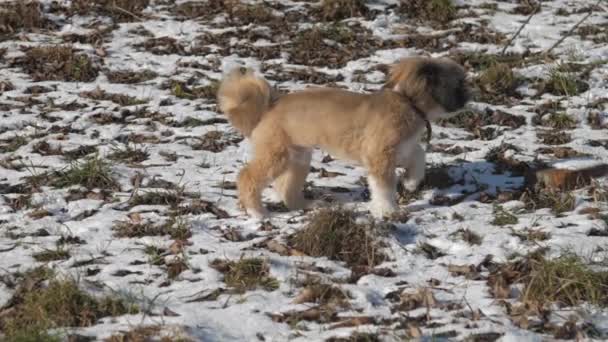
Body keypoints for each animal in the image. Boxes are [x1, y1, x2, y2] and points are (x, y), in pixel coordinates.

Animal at [217, 55, 470, 219]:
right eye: (458, 84)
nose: (470, 96)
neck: (408, 103)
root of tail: (269, 106)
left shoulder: (403, 148)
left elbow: (418, 155)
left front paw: (411, 181)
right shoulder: (380, 155)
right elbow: (383, 187)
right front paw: (387, 210)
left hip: (298, 158)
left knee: (285, 188)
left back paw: (307, 204)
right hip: (276, 155)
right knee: (247, 177)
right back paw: (257, 212)